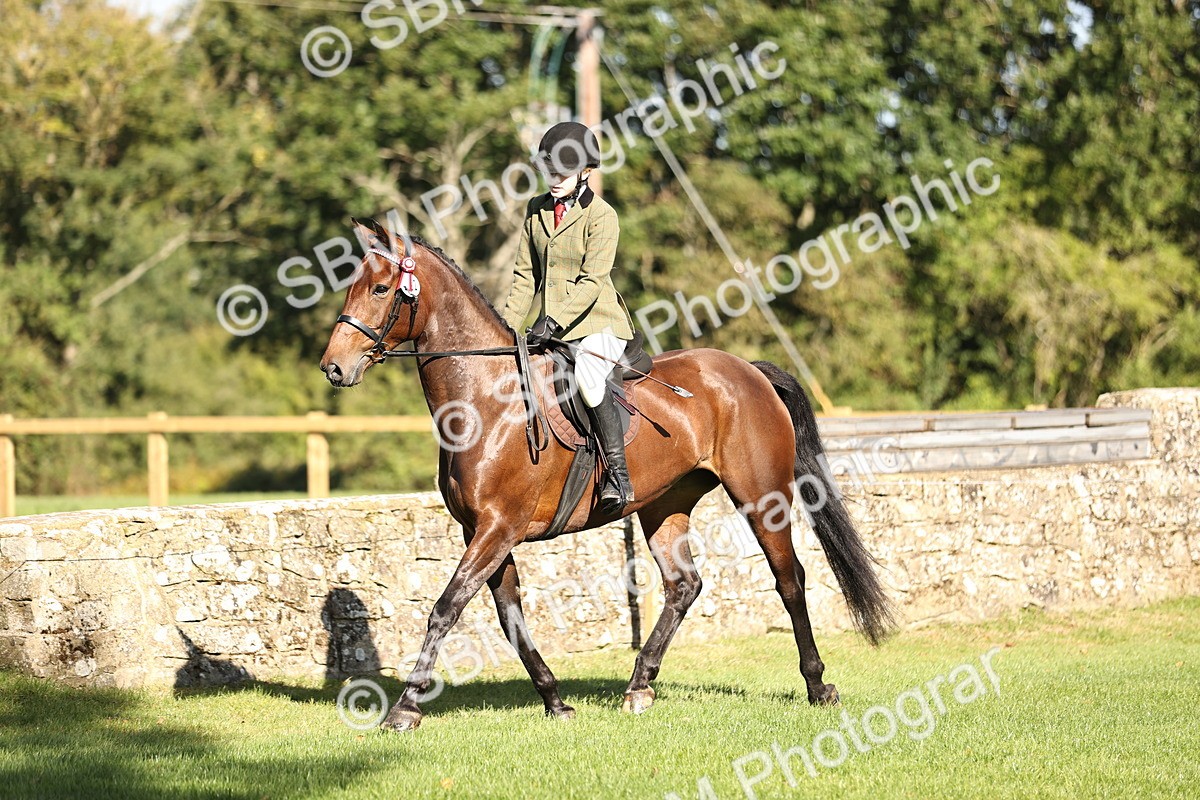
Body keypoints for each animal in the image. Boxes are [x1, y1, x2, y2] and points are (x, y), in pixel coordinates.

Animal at [319, 220, 894, 731]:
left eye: (380, 288)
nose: (333, 368)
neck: (486, 400)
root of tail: (749, 369)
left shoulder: (497, 527)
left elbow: (445, 608)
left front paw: (404, 708)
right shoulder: (482, 531)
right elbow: (510, 617)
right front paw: (555, 701)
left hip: (761, 495)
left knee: (789, 578)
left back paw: (817, 685)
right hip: (665, 503)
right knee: (684, 584)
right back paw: (639, 686)